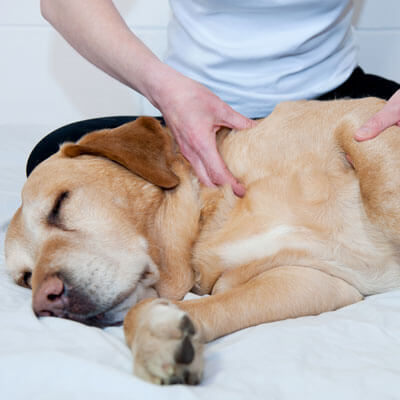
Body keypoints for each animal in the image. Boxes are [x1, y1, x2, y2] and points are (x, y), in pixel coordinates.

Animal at [4, 97, 400, 384]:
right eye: (25, 278)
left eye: (60, 203)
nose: (45, 301)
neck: (207, 219)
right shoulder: (312, 280)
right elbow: (185, 308)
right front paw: (158, 337)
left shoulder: (362, 119)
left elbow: (384, 200)